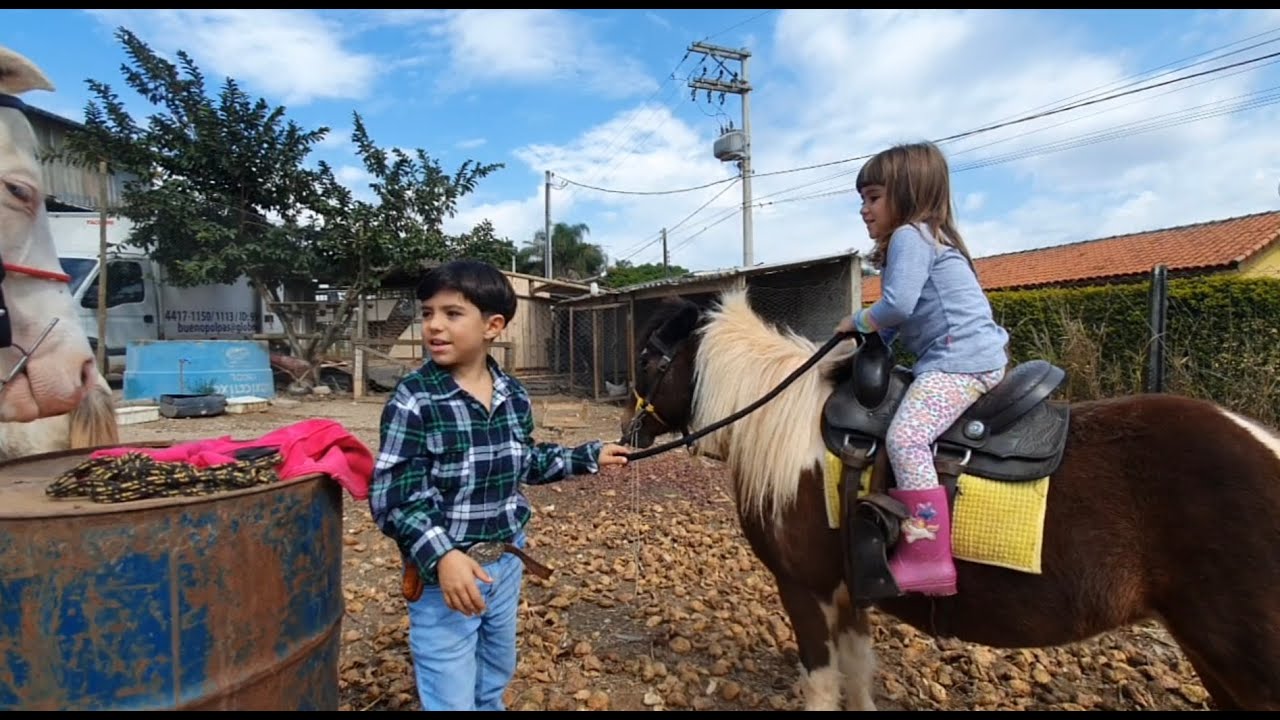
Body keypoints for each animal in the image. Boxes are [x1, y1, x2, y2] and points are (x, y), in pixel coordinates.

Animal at [627, 288, 1280, 707]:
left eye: (647, 357)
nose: (628, 438)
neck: (788, 424)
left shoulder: (805, 589)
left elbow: (824, 684)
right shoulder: (851, 590)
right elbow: (859, 676)